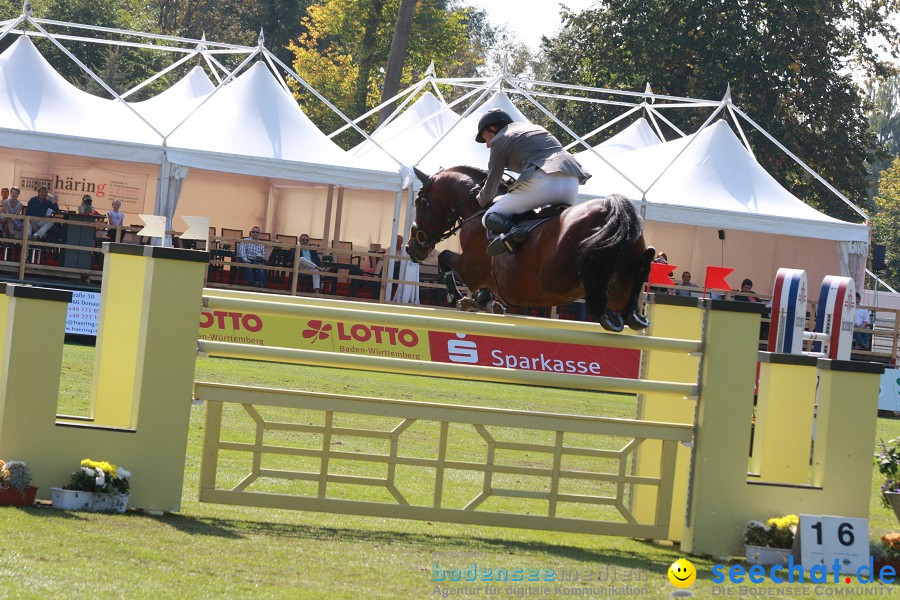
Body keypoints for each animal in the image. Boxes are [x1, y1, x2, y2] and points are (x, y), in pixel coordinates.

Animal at [406, 165, 652, 332]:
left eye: (419, 202)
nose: (411, 248)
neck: (477, 211)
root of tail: (609, 208)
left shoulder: (471, 269)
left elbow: (445, 258)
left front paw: (456, 296)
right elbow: (486, 295)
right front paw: (481, 303)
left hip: (558, 276)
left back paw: (608, 315)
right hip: (620, 277)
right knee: (636, 272)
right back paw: (633, 315)